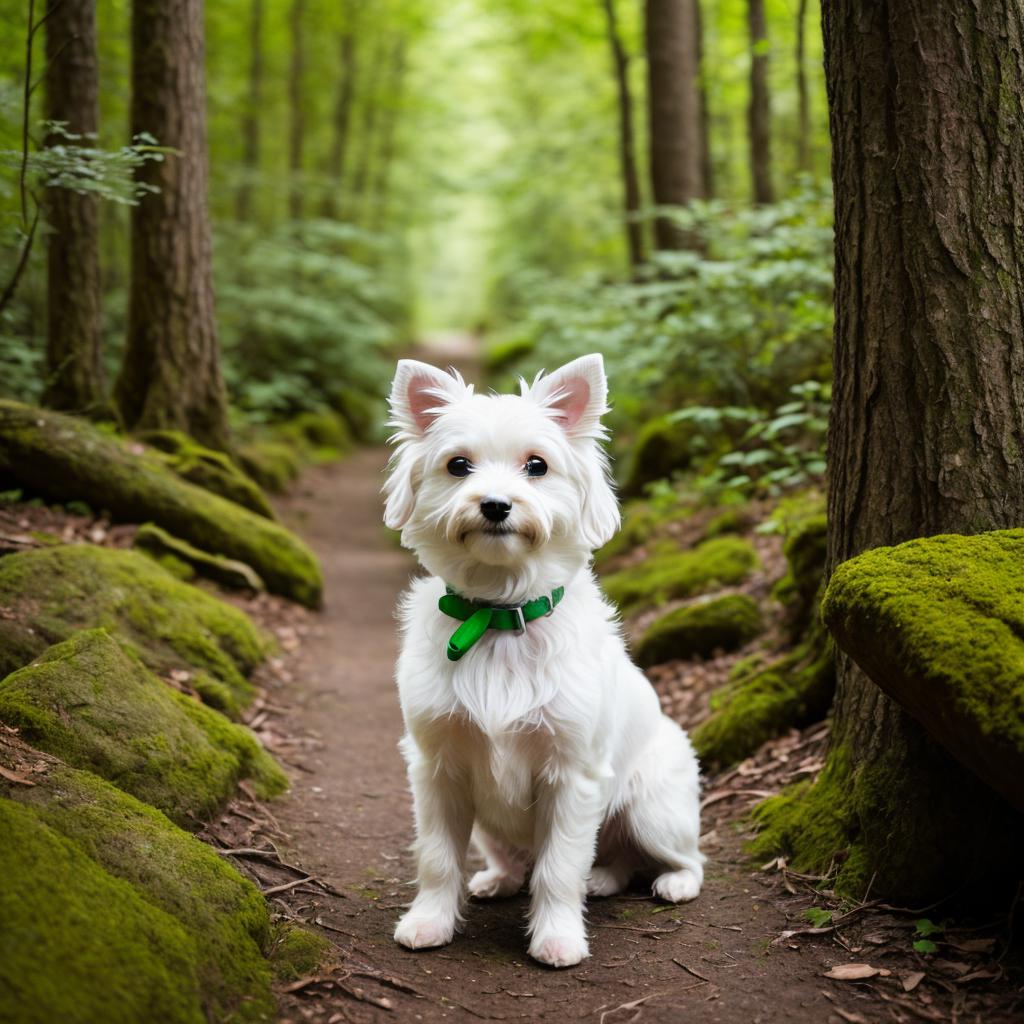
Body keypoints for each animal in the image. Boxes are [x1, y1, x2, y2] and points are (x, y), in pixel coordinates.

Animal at [385, 354, 704, 966]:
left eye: (537, 465)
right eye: (458, 465)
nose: (495, 505)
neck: (500, 616)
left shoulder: (570, 777)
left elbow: (558, 869)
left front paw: (557, 938)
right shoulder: (438, 769)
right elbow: (436, 859)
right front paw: (429, 921)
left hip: (653, 812)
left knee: (685, 860)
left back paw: (667, 882)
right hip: (488, 824)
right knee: (538, 860)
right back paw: (515, 878)